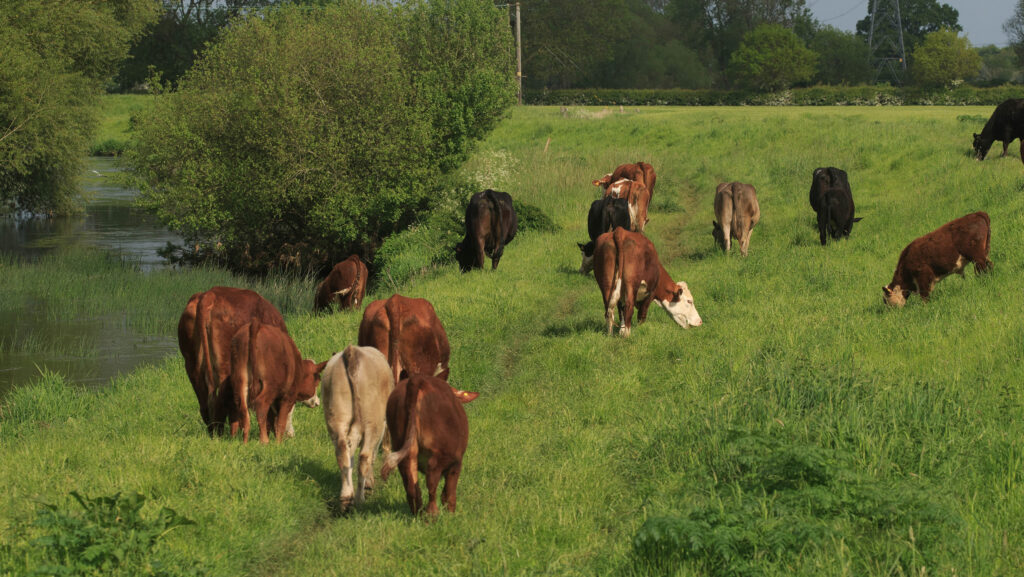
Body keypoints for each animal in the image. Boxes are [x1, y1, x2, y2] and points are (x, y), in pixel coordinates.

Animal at [179, 287, 292, 436]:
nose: (289, 435)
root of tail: (209, 294)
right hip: (225, 366)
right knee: (223, 401)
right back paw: (224, 434)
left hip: (192, 365)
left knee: (205, 404)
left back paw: (213, 432)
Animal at [321, 345, 394, 511]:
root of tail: (352, 351)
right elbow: (372, 455)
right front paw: (369, 483)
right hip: (373, 423)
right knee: (364, 457)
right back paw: (360, 500)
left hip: (336, 417)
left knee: (343, 452)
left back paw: (346, 497)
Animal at [381, 374, 472, 517]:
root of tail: (417, 380)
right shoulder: (456, 463)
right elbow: (449, 493)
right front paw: (451, 515)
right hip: (440, 455)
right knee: (432, 482)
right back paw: (432, 514)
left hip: (405, 447)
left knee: (411, 484)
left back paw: (418, 514)